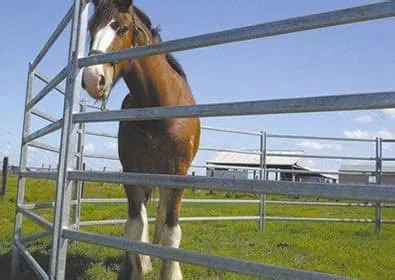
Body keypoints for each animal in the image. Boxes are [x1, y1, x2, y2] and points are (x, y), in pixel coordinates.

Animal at [81, 0, 201, 280]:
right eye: (91, 28)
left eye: (123, 28)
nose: (92, 79)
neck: (158, 106)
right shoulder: (132, 170)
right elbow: (135, 227)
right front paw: (136, 267)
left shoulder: (177, 173)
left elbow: (171, 229)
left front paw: (171, 271)